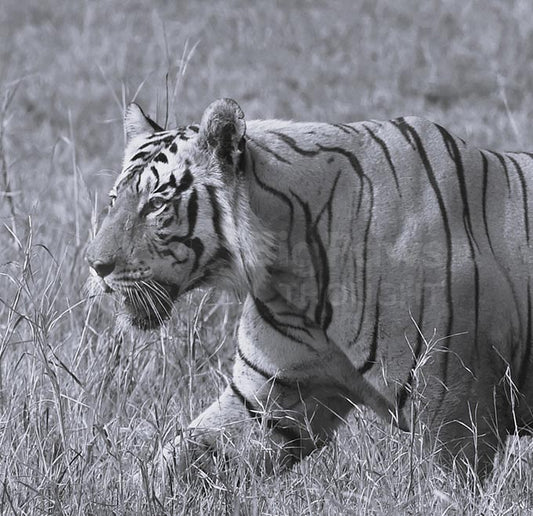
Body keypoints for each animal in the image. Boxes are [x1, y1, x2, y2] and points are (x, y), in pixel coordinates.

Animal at [85, 98, 532, 480]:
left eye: (157, 204)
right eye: (113, 200)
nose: (96, 264)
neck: (293, 272)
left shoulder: (453, 408)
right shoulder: (268, 399)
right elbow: (180, 458)